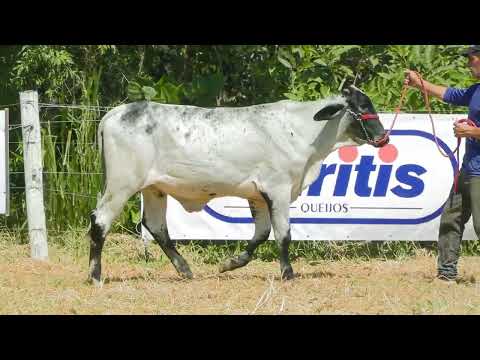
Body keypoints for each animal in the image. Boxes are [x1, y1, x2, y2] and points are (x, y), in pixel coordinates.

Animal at [87, 84, 390, 284]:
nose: (384, 136)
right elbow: (283, 234)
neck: (303, 131)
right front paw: (288, 274)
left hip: (154, 189)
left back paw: (185, 270)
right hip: (121, 185)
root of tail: (112, 114)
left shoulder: (258, 196)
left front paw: (229, 264)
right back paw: (95, 275)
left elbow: (260, 235)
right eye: (363, 107)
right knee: (100, 222)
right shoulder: (278, 189)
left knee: (156, 226)